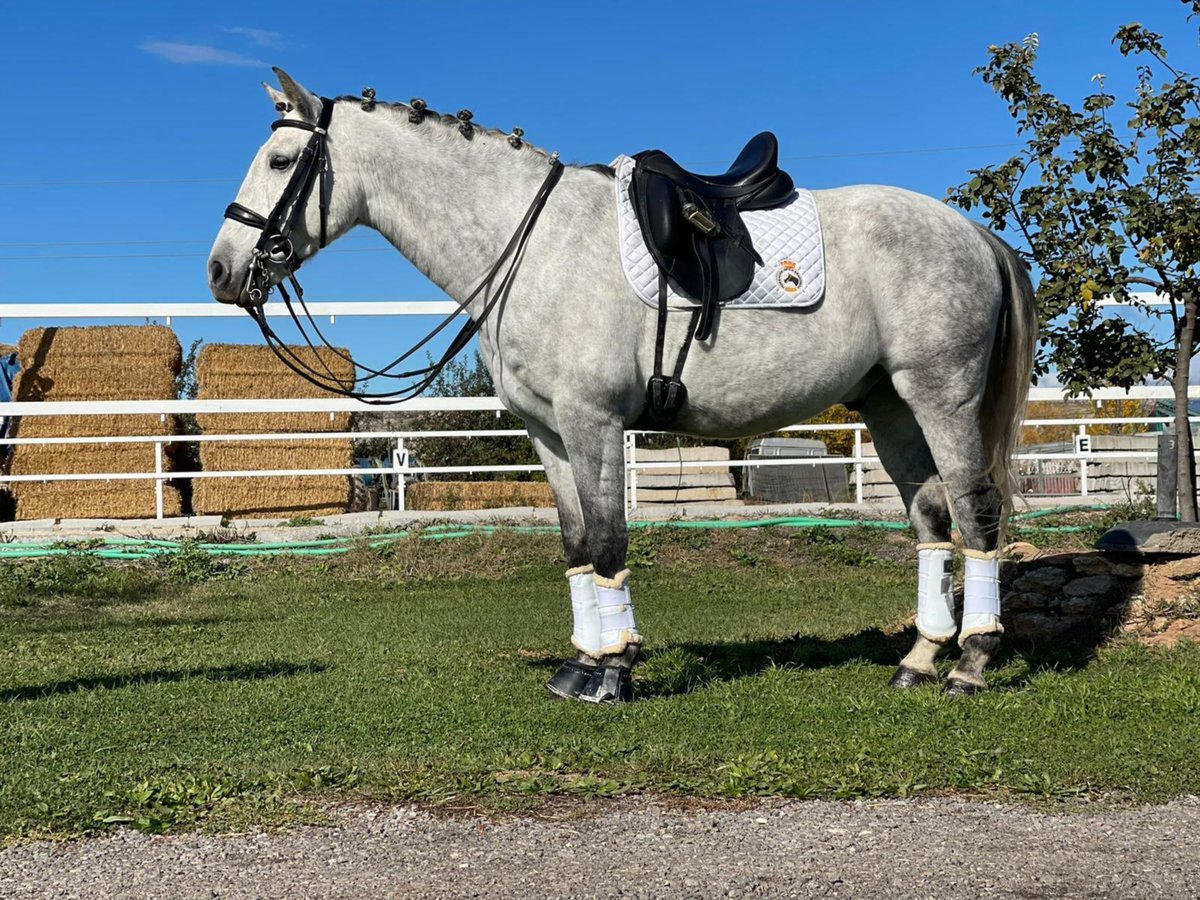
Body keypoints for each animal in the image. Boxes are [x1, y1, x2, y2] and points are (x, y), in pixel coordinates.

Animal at [208, 70, 1041, 705]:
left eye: (281, 160)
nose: (220, 270)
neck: (531, 244)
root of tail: (974, 235)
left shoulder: (594, 423)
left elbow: (609, 541)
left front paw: (612, 672)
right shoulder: (548, 433)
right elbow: (578, 544)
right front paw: (581, 665)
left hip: (940, 398)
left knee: (977, 513)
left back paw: (971, 664)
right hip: (890, 407)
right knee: (932, 520)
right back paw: (918, 660)